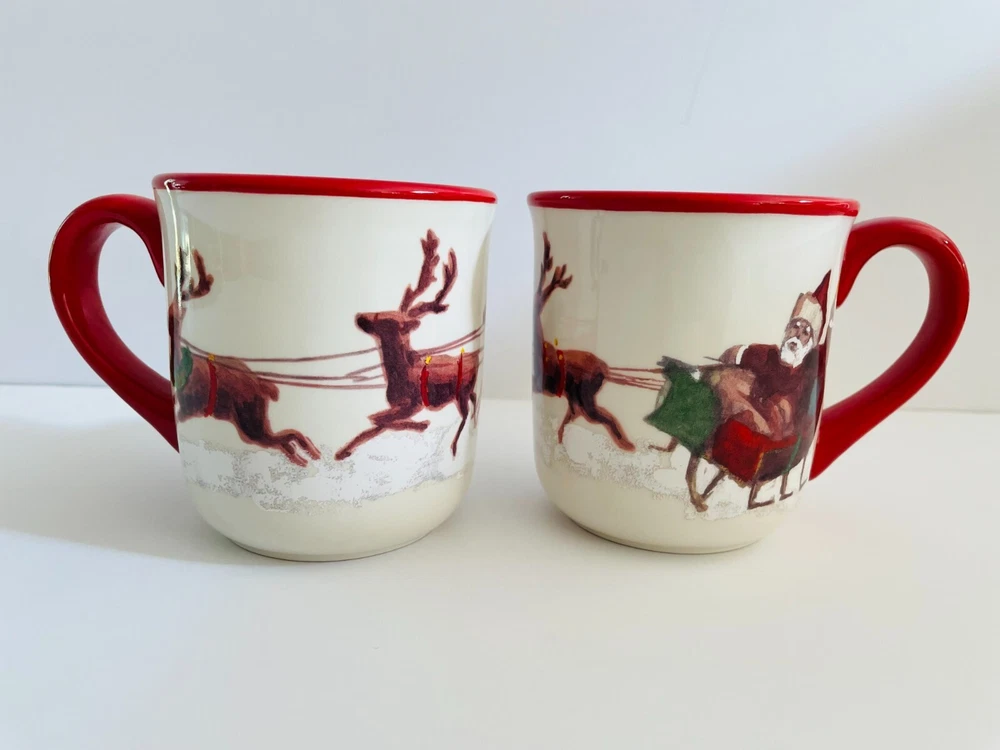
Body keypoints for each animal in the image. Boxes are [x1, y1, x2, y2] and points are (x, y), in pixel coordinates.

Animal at [169, 249, 320, 467]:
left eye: (178, 312)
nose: (177, 305)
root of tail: (264, 386)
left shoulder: (188, 408)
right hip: (251, 426)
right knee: (285, 442)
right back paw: (307, 458)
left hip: (250, 423)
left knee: (285, 439)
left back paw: (310, 456)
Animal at [335, 230, 480, 461]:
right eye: (382, 312)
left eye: (388, 321)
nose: (360, 318)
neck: (398, 374)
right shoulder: (396, 405)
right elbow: (374, 425)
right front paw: (343, 451)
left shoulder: (414, 403)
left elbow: (376, 418)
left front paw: (421, 424)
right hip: (465, 392)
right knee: (473, 402)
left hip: (461, 392)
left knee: (465, 414)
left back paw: (454, 447)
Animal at [534, 233, 635, 451]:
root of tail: (605, 369)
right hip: (578, 399)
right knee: (579, 415)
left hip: (586, 398)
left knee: (603, 418)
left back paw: (627, 445)